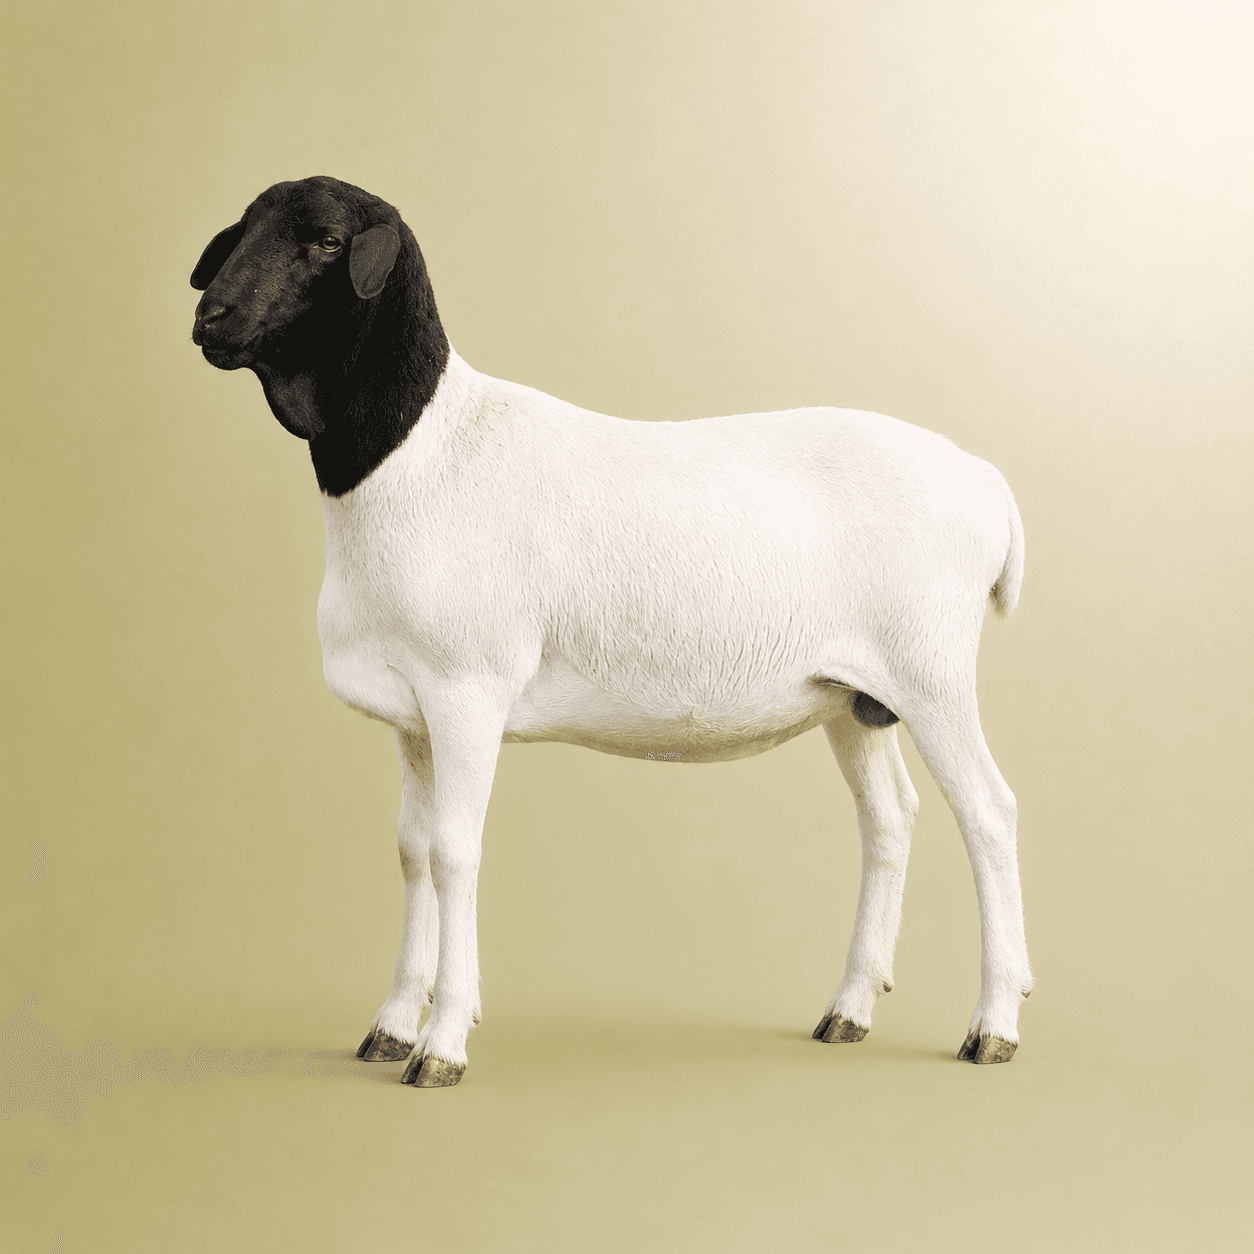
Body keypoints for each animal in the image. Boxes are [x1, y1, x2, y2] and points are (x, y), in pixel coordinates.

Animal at [191, 175, 1032, 1087]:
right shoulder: (412, 713)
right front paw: (390, 1025)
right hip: (853, 695)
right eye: (245, 227)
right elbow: (413, 850)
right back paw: (848, 1010)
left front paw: (442, 1043)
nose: (211, 318)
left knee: (988, 814)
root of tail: (986, 480)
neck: (418, 453)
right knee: (889, 819)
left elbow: (455, 853)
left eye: (327, 240)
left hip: (933, 673)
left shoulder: (466, 692)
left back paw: (994, 1025)